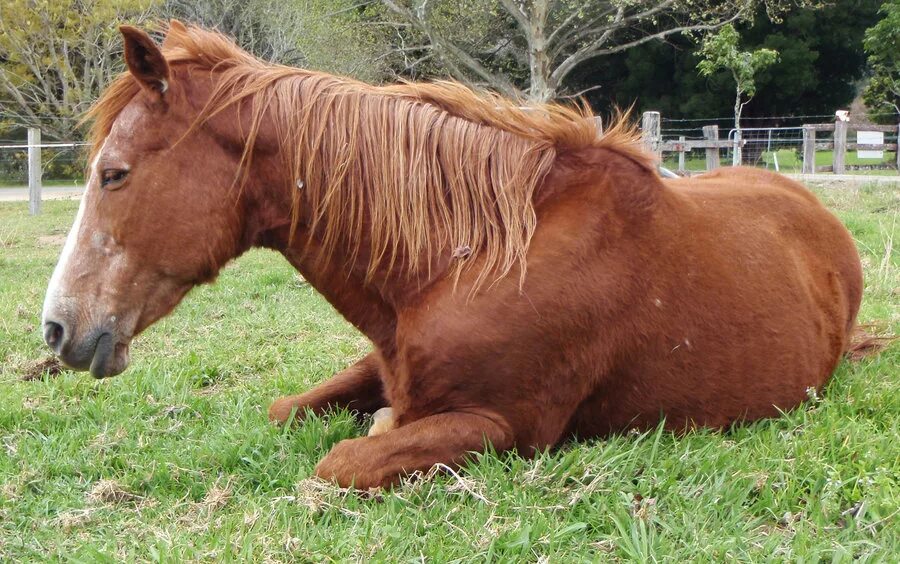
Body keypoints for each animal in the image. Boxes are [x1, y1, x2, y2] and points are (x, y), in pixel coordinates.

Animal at [42, 22, 864, 490]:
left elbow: (342, 460)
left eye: (113, 174)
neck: (470, 262)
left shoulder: (507, 428)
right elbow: (290, 411)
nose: (57, 329)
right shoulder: (385, 365)